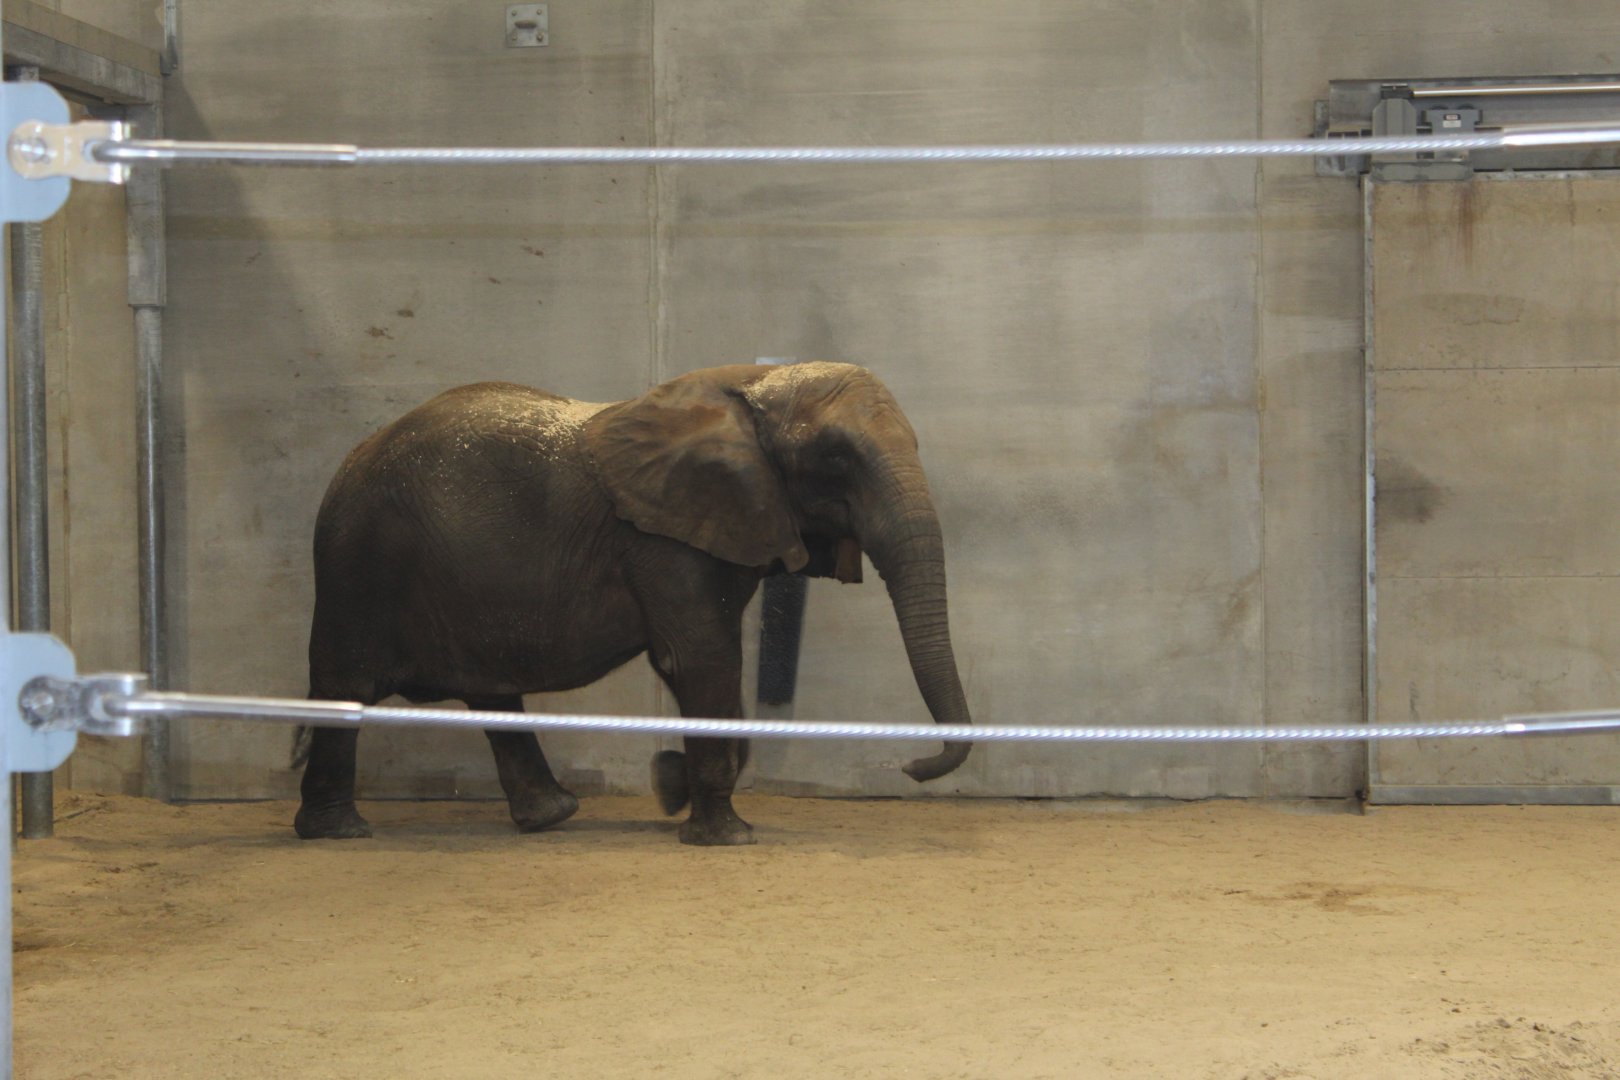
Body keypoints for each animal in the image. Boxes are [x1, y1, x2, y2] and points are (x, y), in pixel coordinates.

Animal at [295, 361, 973, 845]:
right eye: (837, 458)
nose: (911, 768)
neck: (751, 387)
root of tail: (346, 463)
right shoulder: (663, 539)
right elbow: (700, 660)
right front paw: (724, 835)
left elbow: (695, 668)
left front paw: (672, 787)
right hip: (360, 561)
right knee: (342, 687)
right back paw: (339, 831)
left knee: (489, 690)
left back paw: (550, 816)